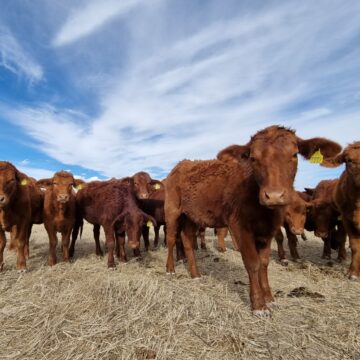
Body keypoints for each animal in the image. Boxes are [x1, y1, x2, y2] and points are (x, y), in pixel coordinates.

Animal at [163, 126, 340, 316]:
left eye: (294, 154)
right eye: (253, 158)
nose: (274, 195)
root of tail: (183, 163)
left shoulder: (268, 231)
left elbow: (264, 263)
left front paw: (269, 297)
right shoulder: (240, 226)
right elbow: (253, 263)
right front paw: (259, 305)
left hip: (193, 215)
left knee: (187, 238)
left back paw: (195, 274)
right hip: (172, 211)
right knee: (172, 238)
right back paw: (170, 269)